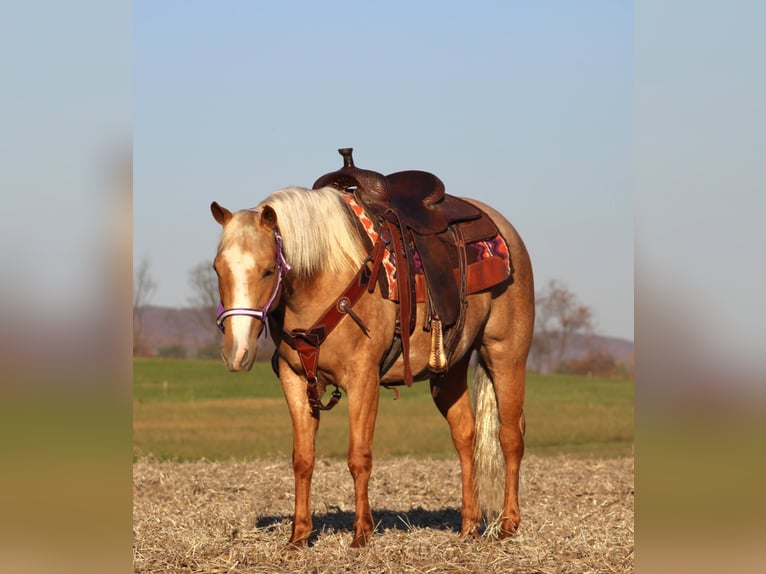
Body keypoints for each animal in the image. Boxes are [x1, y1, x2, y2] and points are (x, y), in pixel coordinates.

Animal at [210, 183, 536, 548]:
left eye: (268, 270)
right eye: (218, 269)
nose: (237, 352)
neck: (326, 278)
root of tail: (504, 229)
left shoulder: (363, 380)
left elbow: (359, 457)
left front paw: (361, 534)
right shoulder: (295, 381)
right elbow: (303, 459)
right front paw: (299, 535)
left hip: (506, 354)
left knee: (510, 436)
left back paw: (508, 524)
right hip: (450, 368)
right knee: (466, 435)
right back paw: (468, 526)